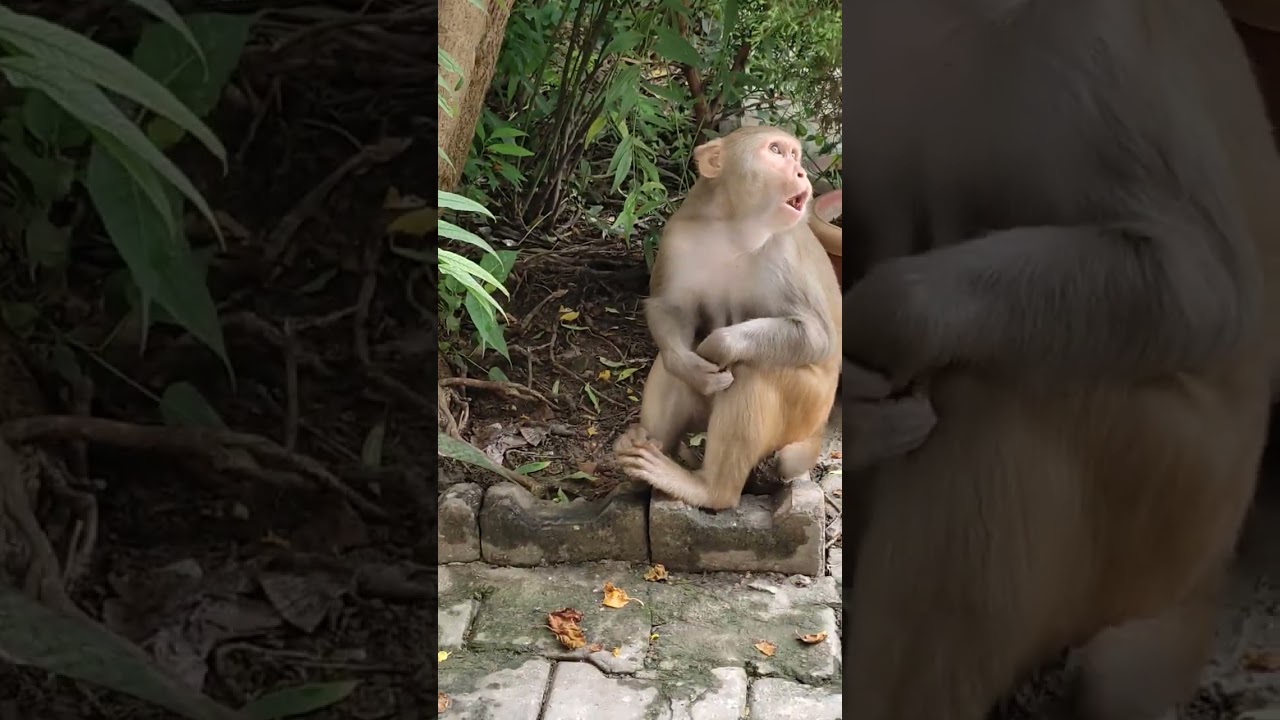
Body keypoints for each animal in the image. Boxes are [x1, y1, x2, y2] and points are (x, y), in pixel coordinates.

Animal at [613, 126, 938, 511]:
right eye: (776, 151)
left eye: (794, 155)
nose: (801, 173)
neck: (735, 229)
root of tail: (817, 429)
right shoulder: (679, 235)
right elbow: (670, 309)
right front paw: (691, 365)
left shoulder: (785, 251)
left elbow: (816, 337)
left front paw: (718, 346)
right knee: (670, 364)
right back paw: (640, 459)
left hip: (805, 410)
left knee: (754, 370)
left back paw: (709, 489)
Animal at [837, 1, 1280, 718]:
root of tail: (1215, 559)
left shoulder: (1099, 38)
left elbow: (1201, 292)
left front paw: (878, 325)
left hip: (1178, 502)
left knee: (1006, 392)